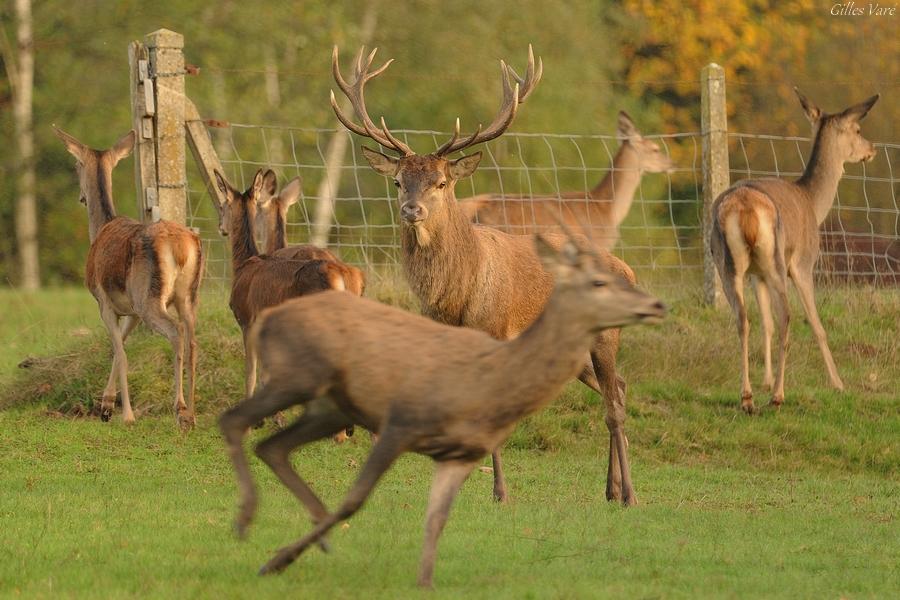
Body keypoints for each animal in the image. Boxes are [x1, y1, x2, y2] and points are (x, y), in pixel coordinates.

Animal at [54, 126, 206, 428]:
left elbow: (121, 352)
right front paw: (105, 406)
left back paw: (180, 408)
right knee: (193, 339)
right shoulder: (130, 309)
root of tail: (182, 246)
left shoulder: (103, 301)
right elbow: (120, 346)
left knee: (176, 331)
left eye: (76, 165)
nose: (81, 197)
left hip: (149, 295)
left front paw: (125, 414)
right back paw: (193, 413)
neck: (101, 228)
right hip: (187, 295)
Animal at [330, 45, 648, 506]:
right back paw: (611, 488)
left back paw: (629, 495)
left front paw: (500, 491)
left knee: (614, 405)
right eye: (397, 181)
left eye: (441, 182)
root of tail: (627, 267)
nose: (412, 210)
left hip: (607, 335)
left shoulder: (495, 330)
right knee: (619, 387)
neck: (460, 293)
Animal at [712, 89, 880, 412]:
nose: (872, 148)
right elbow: (816, 323)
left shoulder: (757, 274)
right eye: (857, 129)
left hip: (729, 264)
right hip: (777, 260)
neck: (813, 202)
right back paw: (778, 396)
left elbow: (765, 322)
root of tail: (744, 208)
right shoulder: (804, 263)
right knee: (787, 316)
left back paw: (748, 397)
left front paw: (765, 380)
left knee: (743, 318)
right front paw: (837, 383)